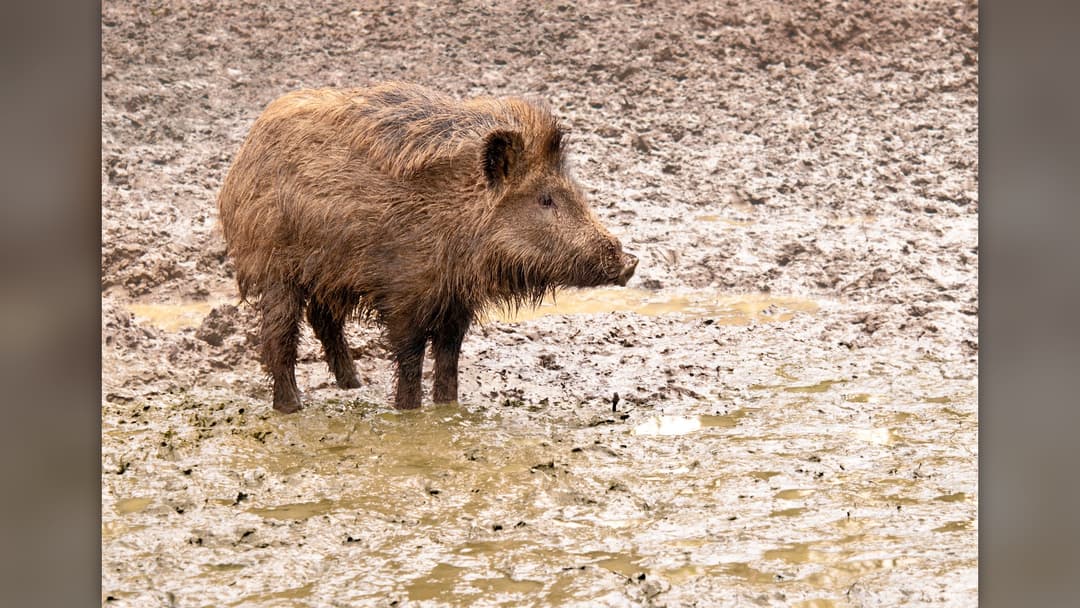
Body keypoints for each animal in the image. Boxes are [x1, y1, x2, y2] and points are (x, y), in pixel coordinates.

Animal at [217, 81, 637, 412]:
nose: (629, 261)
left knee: (323, 320)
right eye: (545, 199)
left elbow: (449, 358)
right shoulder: (404, 295)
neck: (458, 215)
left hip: (328, 274)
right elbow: (410, 357)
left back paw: (354, 385)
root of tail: (244, 156)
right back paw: (291, 407)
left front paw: (448, 408)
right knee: (279, 335)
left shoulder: (455, 303)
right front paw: (409, 412)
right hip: (275, 267)